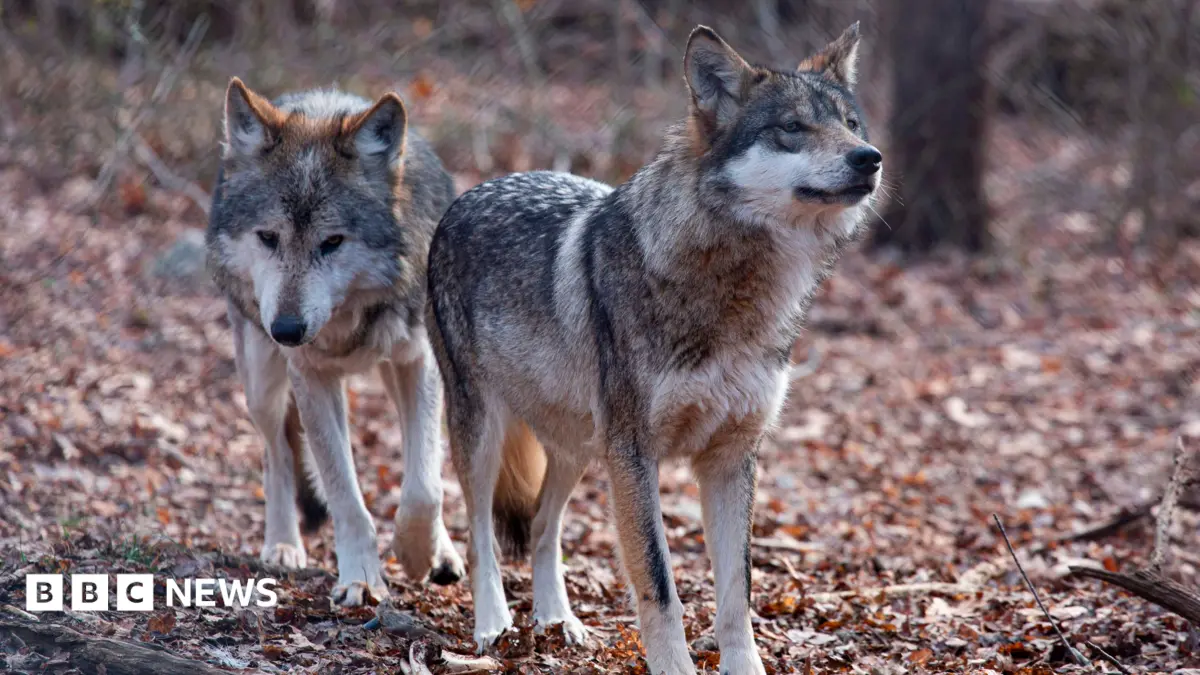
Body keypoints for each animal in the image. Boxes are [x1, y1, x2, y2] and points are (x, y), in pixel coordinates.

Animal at [206, 78, 466, 607]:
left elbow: (424, 485)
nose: (286, 330)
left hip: (395, 373)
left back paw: (443, 552)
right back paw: (283, 544)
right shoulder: (311, 377)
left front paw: (415, 554)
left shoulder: (420, 362)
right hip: (262, 383)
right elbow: (344, 493)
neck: (348, 319)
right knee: (277, 455)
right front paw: (362, 577)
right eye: (268, 237)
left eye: (332, 242)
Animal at [425, 23, 880, 674]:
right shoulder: (636, 455)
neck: (734, 292)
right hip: (486, 434)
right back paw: (494, 627)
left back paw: (557, 621)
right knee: (480, 534)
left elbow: (738, 594)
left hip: (580, 447)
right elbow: (660, 586)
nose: (870, 158)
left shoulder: (731, 458)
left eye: (851, 123)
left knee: (541, 526)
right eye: (792, 127)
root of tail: (472, 191)